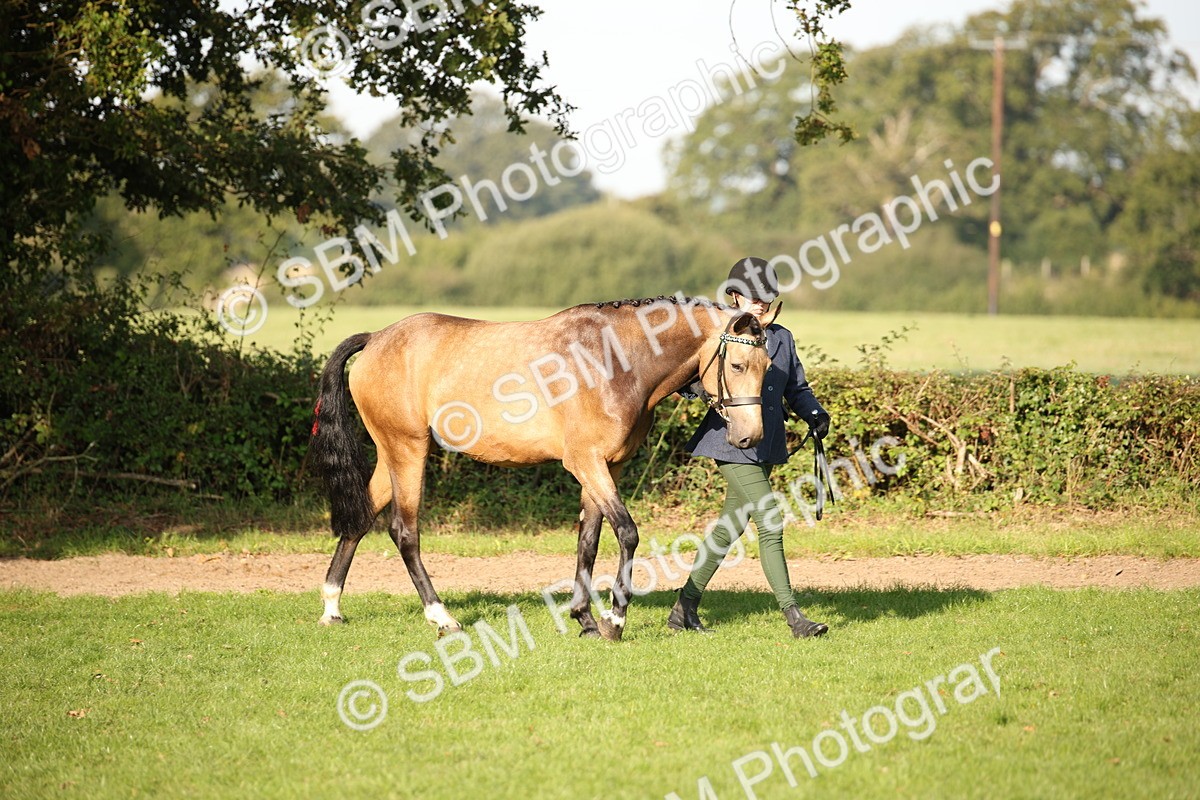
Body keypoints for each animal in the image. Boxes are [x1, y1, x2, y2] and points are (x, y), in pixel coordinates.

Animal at [308, 295, 772, 640]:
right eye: (737, 366)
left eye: (768, 368)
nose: (749, 437)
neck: (614, 360)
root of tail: (377, 338)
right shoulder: (586, 462)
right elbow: (626, 533)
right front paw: (614, 620)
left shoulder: (607, 467)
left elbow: (588, 540)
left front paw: (585, 619)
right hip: (408, 451)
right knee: (404, 532)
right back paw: (442, 618)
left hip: (392, 456)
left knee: (360, 519)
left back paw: (332, 606)